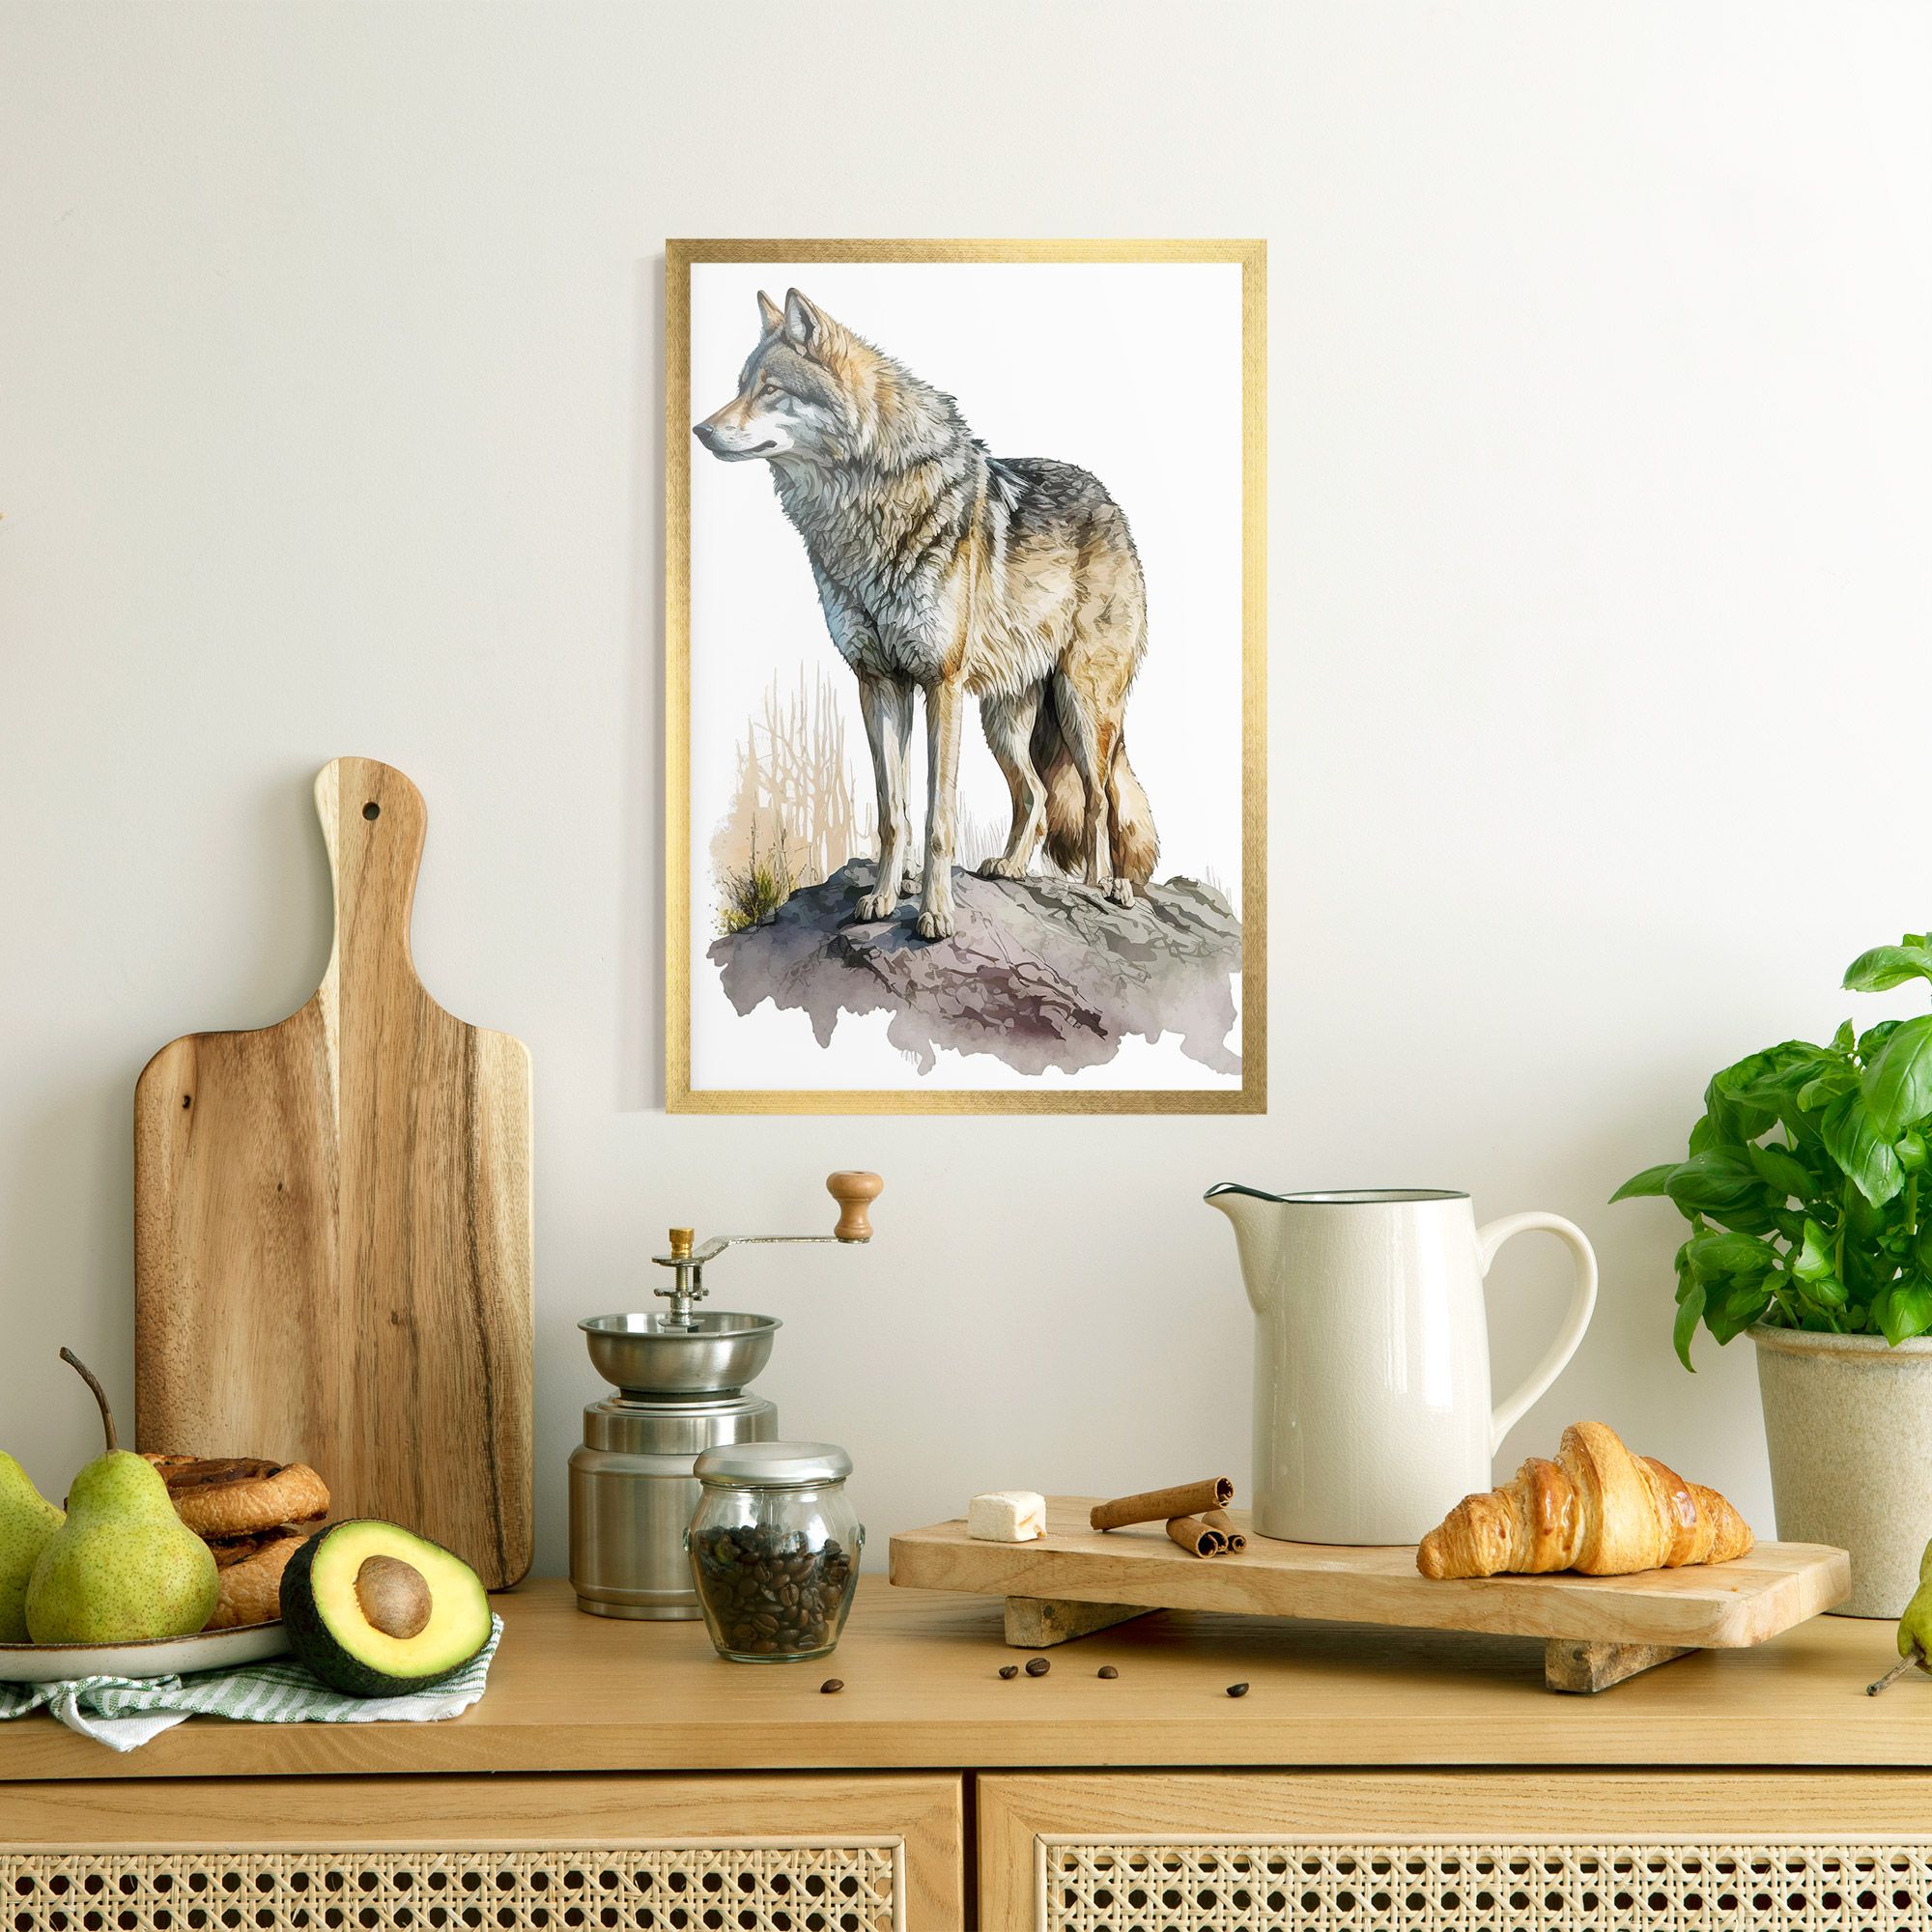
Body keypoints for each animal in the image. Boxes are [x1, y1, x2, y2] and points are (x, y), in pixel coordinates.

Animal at [694, 288, 1158, 940]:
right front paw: (883, 898)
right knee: (1037, 798)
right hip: (1001, 720)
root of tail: (1111, 502)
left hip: (1082, 708)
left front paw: (935, 914)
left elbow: (939, 818)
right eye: (740, 386)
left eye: (770, 390)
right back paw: (1010, 868)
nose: (701, 429)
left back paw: (1105, 889)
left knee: (1102, 800)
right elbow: (895, 813)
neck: (864, 513)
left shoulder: (940, 684)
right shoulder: (878, 682)